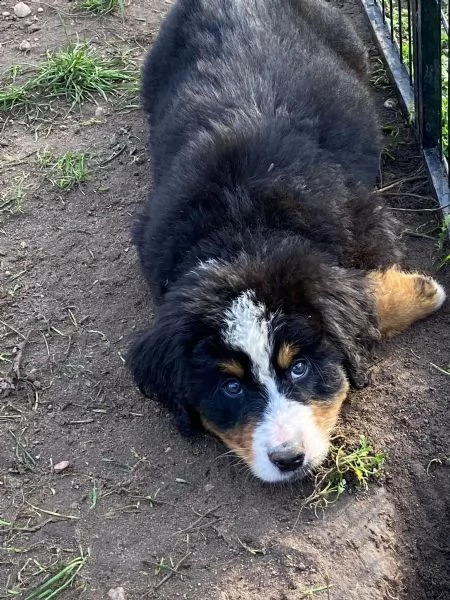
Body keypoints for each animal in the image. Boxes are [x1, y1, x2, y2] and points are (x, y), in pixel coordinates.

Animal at [127, 0, 446, 482]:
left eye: (298, 368)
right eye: (231, 387)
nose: (288, 459)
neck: (243, 226)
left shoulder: (363, 217)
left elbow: (366, 285)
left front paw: (423, 292)